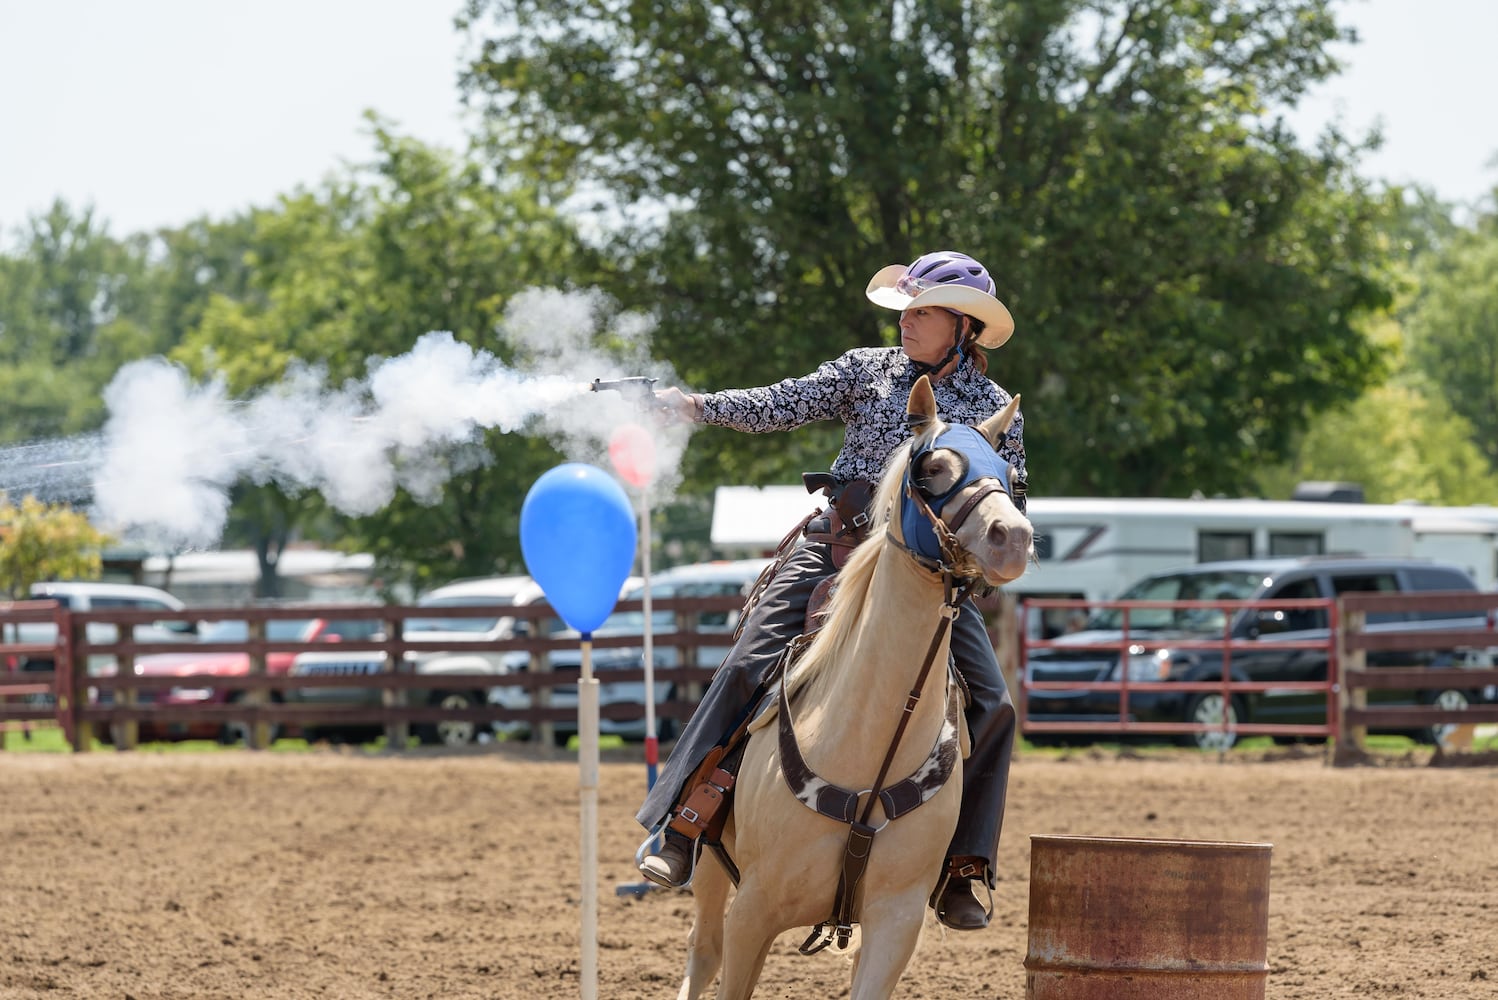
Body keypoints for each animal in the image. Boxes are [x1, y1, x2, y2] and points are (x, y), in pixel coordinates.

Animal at [677, 377, 1030, 999]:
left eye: (1012, 477)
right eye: (933, 466)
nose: (1012, 537)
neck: (869, 743)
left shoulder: (896, 922)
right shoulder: (754, 911)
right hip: (710, 870)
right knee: (704, 951)